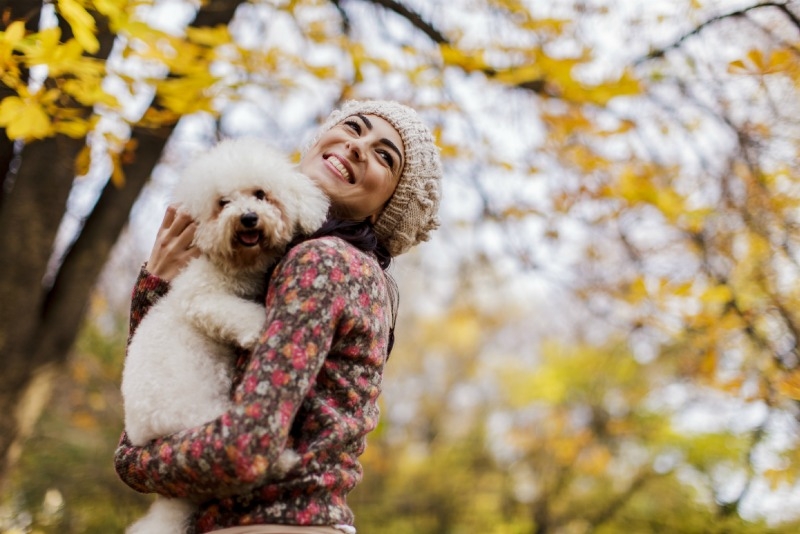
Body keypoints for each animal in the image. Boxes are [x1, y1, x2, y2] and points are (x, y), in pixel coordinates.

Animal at [122, 139, 328, 534]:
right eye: (223, 203)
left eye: (260, 194)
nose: (247, 217)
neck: (238, 265)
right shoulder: (201, 297)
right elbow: (239, 313)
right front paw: (259, 327)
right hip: (206, 419)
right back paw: (285, 459)